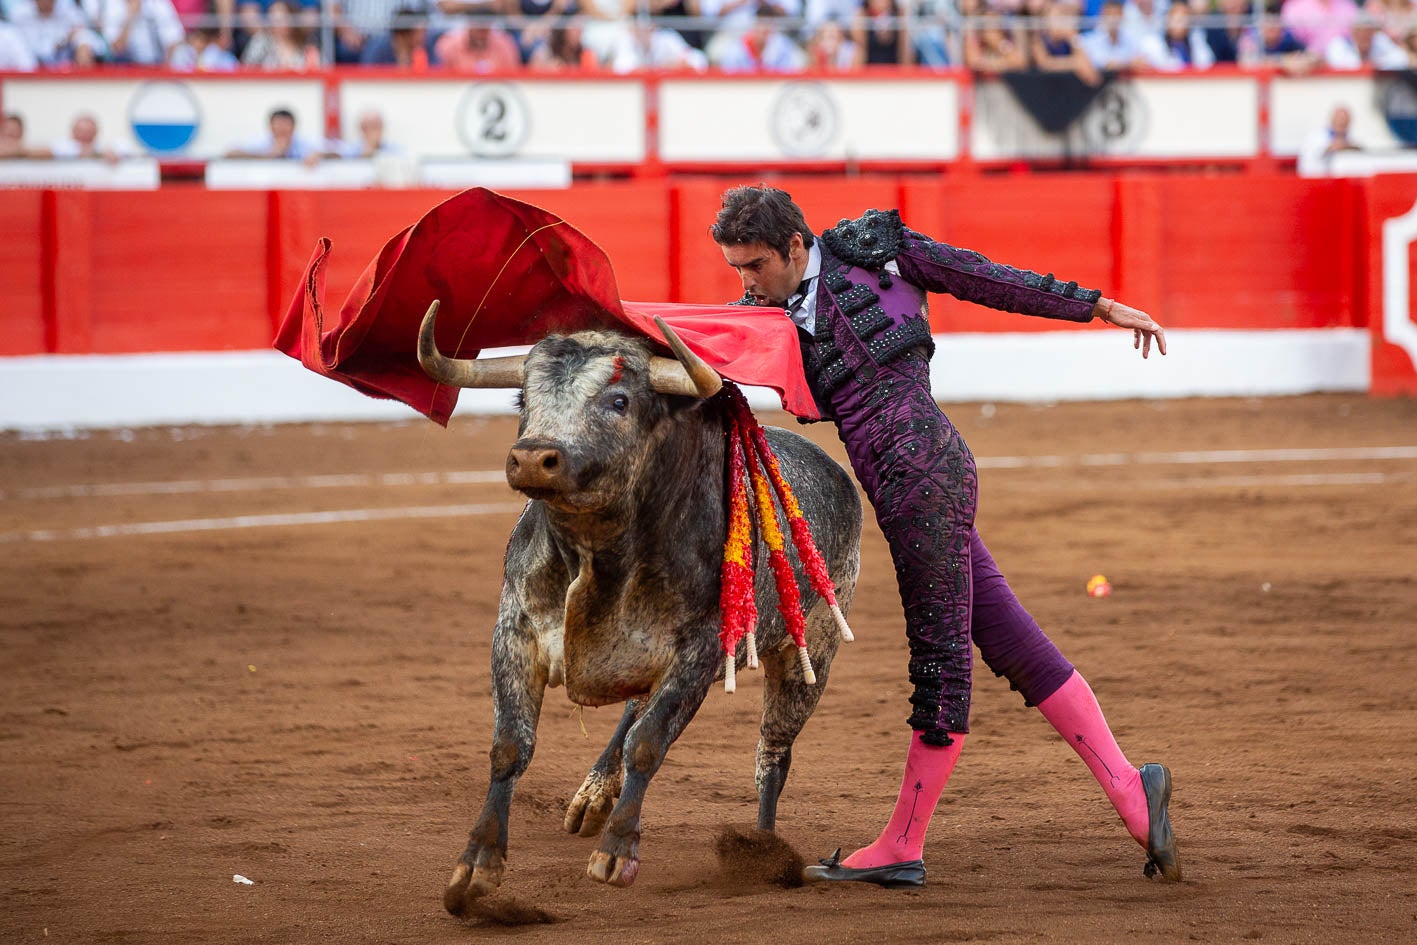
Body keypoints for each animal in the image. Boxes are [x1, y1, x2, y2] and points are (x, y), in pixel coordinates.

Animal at [416, 301, 861, 906]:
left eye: (619, 401)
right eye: (524, 400)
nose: (532, 459)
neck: (599, 552)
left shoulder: (699, 651)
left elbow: (649, 743)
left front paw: (617, 851)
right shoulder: (515, 631)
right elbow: (511, 745)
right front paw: (477, 864)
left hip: (809, 648)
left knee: (772, 753)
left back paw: (762, 852)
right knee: (636, 712)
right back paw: (593, 797)